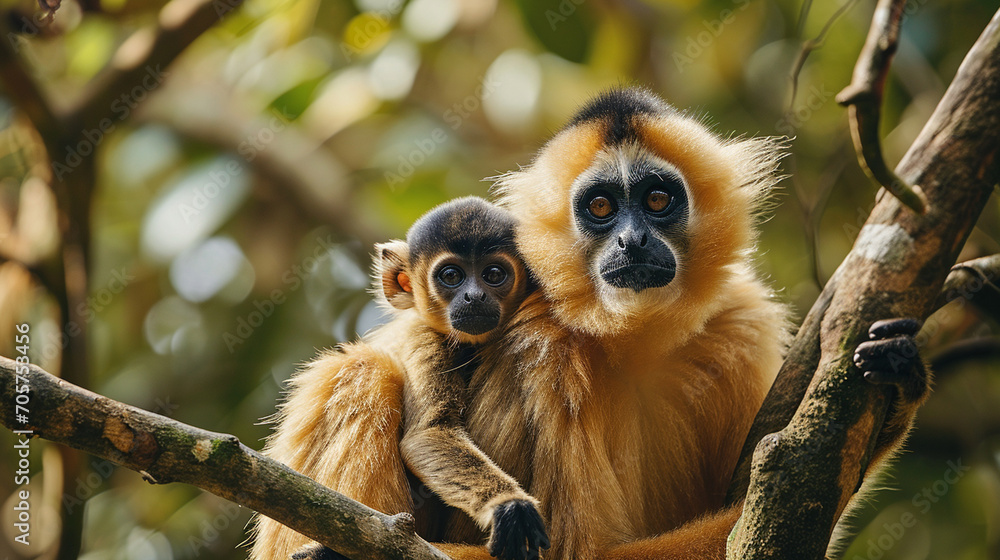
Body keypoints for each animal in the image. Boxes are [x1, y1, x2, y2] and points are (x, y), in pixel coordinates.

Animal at [252, 197, 549, 560]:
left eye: (493, 274)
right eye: (452, 276)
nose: (474, 296)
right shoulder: (425, 335)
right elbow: (426, 435)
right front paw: (507, 505)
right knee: (368, 370)